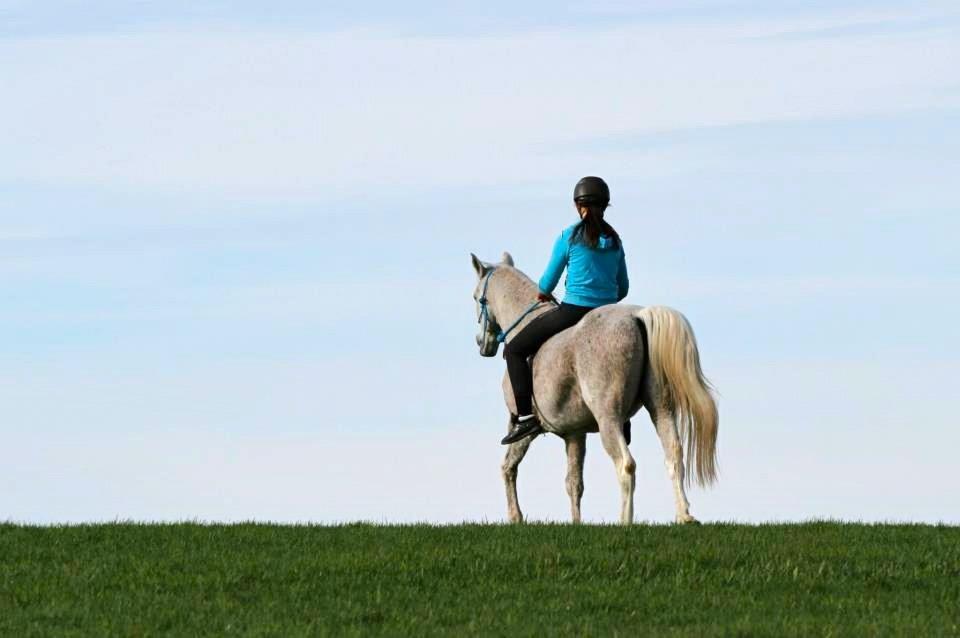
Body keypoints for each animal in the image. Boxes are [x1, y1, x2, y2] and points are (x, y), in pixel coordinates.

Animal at [468, 252, 716, 528]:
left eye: (476, 297)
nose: (482, 343)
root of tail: (637, 316)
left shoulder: (523, 428)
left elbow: (508, 466)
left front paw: (516, 517)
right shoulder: (575, 434)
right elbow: (574, 483)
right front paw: (577, 524)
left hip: (609, 418)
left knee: (626, 464)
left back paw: (625, 522)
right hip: (660, 408)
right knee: (673, 454)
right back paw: (684, 516)